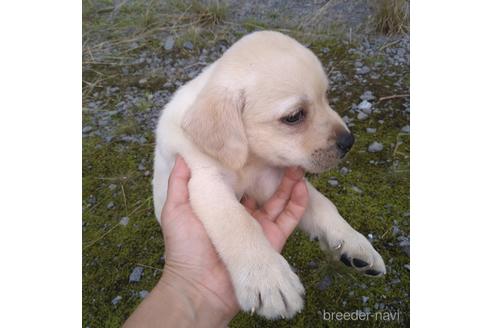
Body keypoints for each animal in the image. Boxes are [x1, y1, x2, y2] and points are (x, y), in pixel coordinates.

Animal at [152, 31, 386, 320]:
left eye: (326, 97)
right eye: (294, 116)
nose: (349, 141)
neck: (249, 159)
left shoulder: (273, 179)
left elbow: (323, 205)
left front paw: (353, 242)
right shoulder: (205, 183)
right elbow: (239, 223)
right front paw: (268, 278)